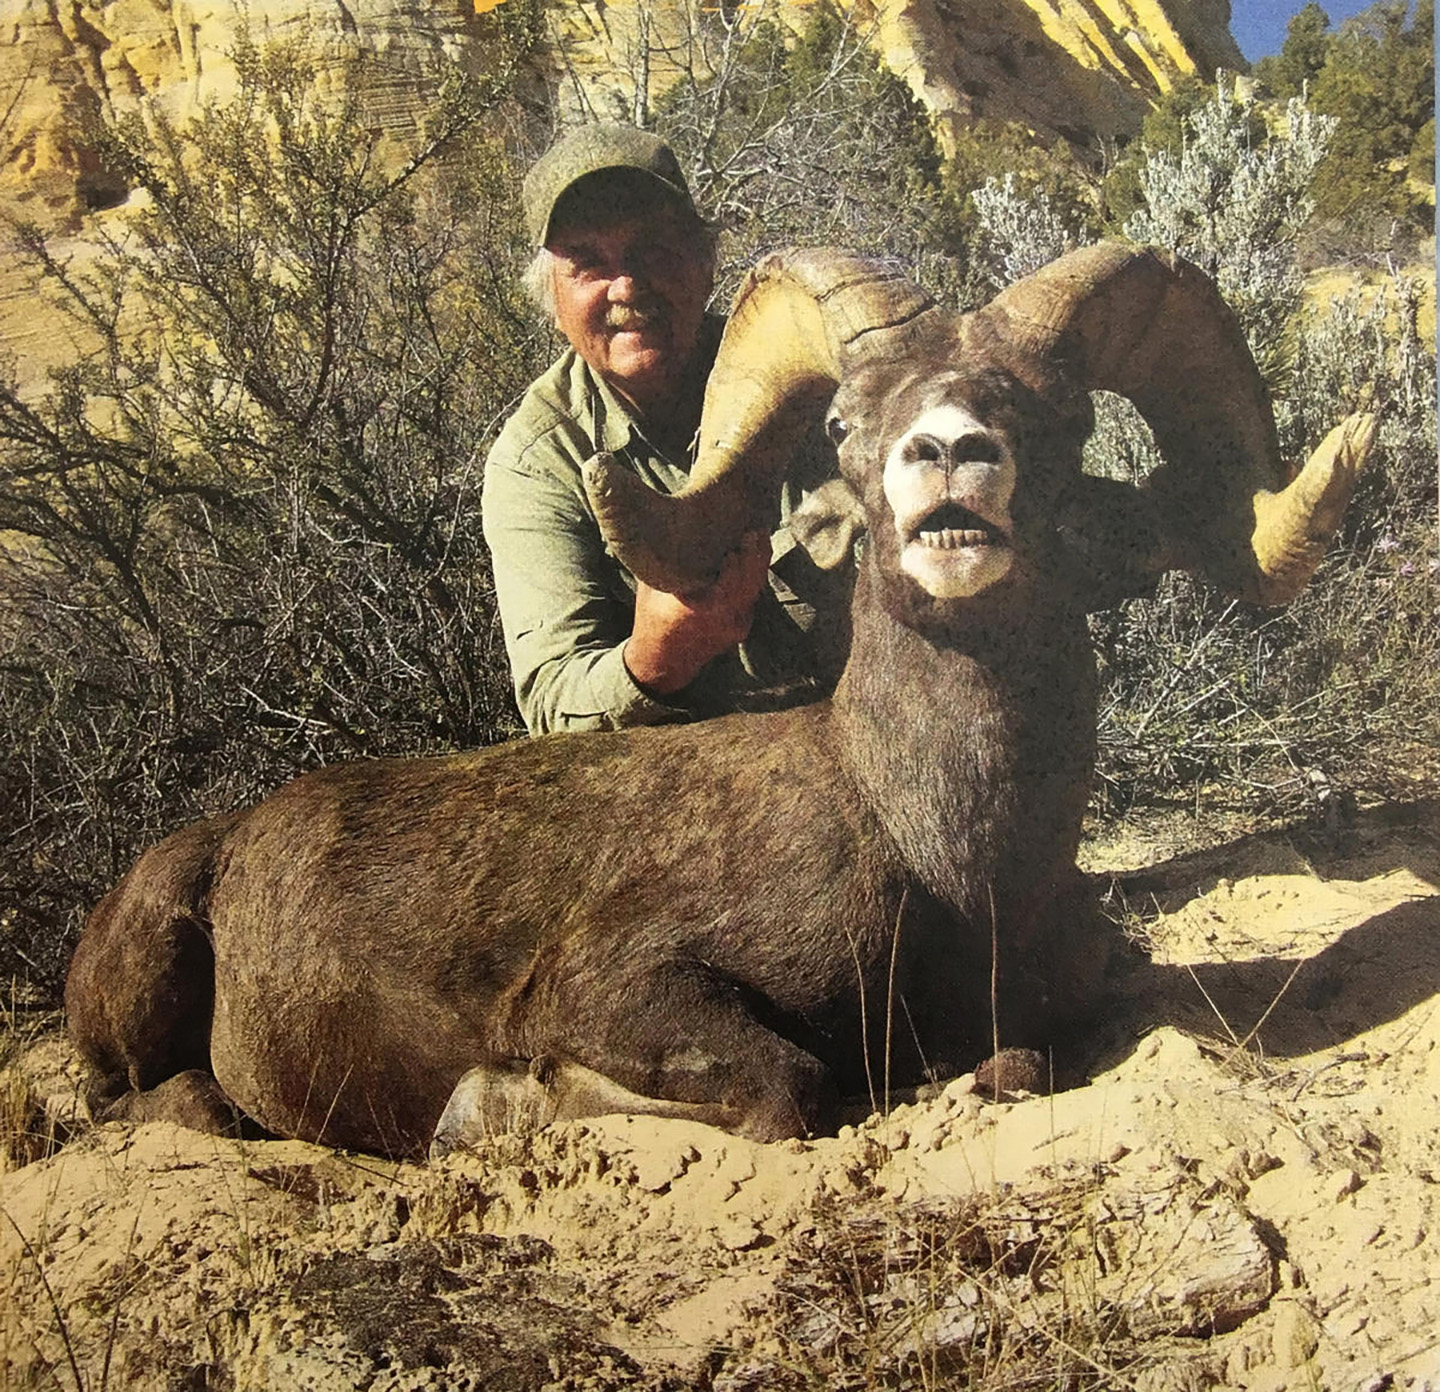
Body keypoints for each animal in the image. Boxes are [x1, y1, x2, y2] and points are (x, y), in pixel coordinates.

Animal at [67, 244, 1370, 1157]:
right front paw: (502, 1111)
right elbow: (793, 1086)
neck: (943, 854)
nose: (949, 455)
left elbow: (1012, 1066)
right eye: (844, 422)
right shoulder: (623, 988)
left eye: (1062, 414)